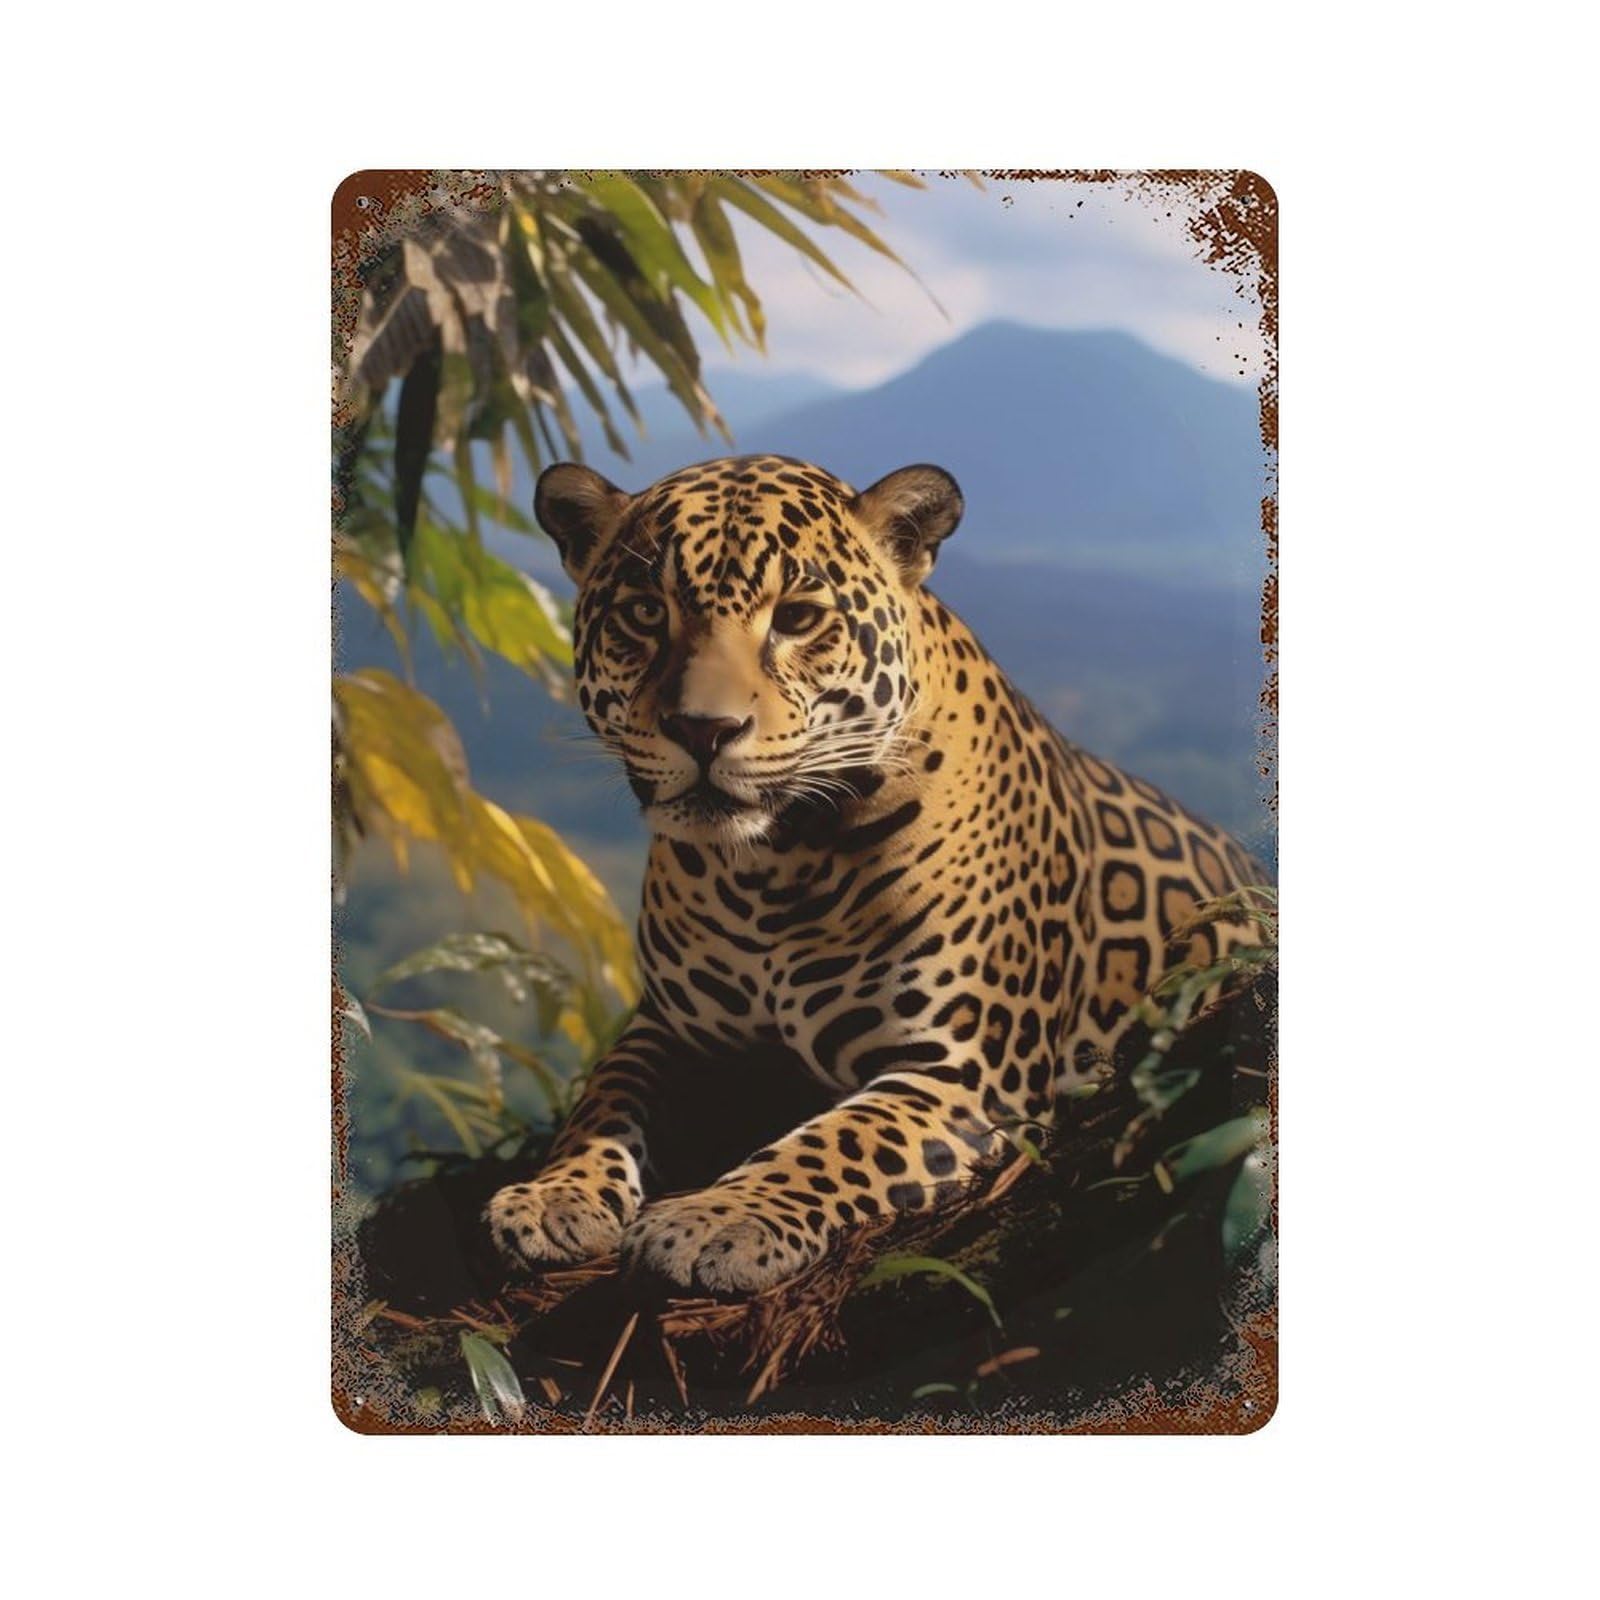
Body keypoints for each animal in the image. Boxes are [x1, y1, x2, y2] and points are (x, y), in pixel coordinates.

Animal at [486, 453, 1267, 1295]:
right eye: (642, 612)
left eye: (797, 618)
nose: (704, 729)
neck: (767, 869)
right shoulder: (673, 1028)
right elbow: (604, 1097)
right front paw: (554, 1194)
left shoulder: (964, 1072)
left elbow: (836, 1143)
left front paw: (716, 1219)